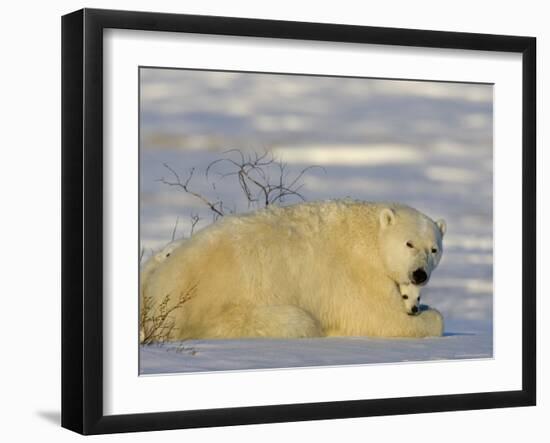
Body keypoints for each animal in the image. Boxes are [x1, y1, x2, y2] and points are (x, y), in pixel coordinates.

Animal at [141, 200, 448, 340]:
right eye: (409, 243)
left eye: (434, 249)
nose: (419, 274)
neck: (370, 236)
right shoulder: (358, 275)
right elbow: (381, 318)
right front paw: (427, 316)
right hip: (229, 311)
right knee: (298, 321)